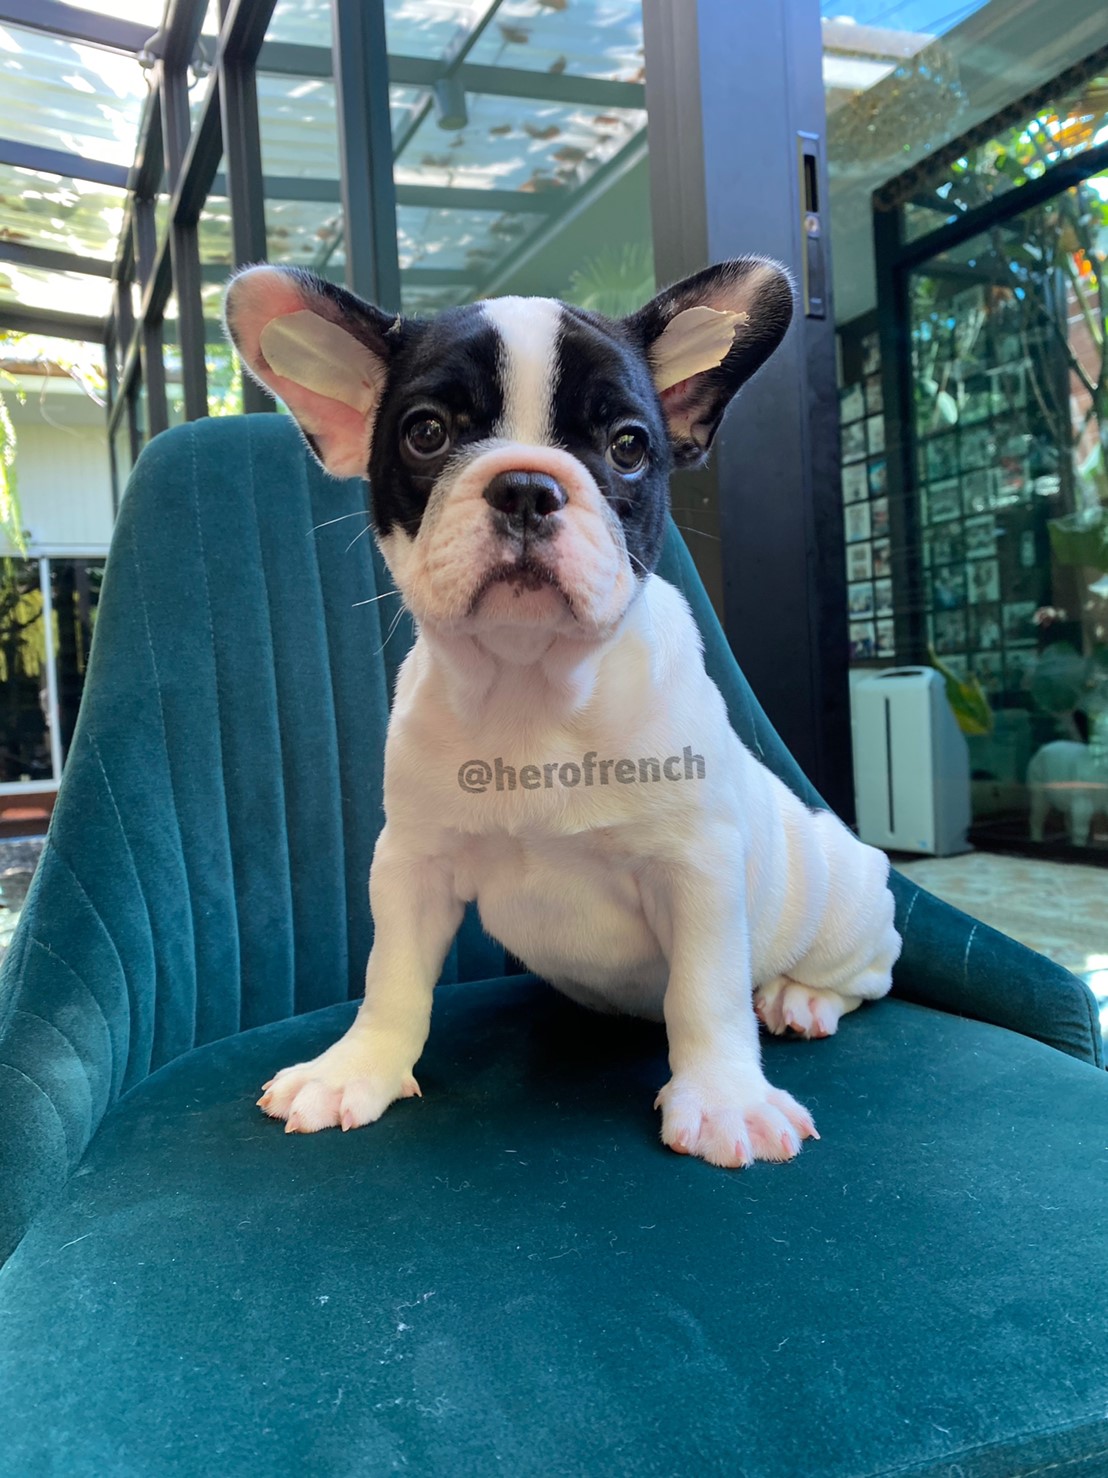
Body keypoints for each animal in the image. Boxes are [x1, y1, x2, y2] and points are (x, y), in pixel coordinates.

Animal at [223, 259, 901, 1169]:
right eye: (426, 433)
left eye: (628, 446)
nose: (525, 485)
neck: (530, 684)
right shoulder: (410, 865)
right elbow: (390, 978)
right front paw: (356, 1068)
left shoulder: (697, 868)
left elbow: (707, 992)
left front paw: (725, 1097)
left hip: (848, 898)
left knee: (869, 973)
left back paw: (801, 998)